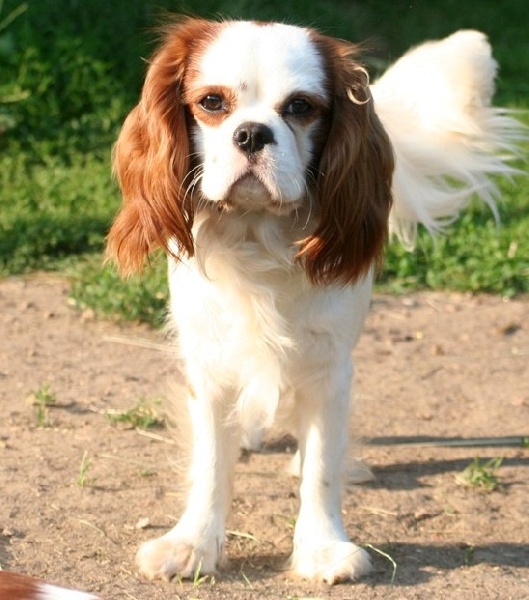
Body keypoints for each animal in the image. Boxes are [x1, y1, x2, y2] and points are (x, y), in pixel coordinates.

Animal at [106, 18, 520, 584]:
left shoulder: (329, 365)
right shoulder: (209, 362)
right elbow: (211, 464)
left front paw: (322, 547)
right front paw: (193, 544)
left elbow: (323, 463)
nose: (251, 133)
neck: (257, 236)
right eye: (212, 102)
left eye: (301, 107)